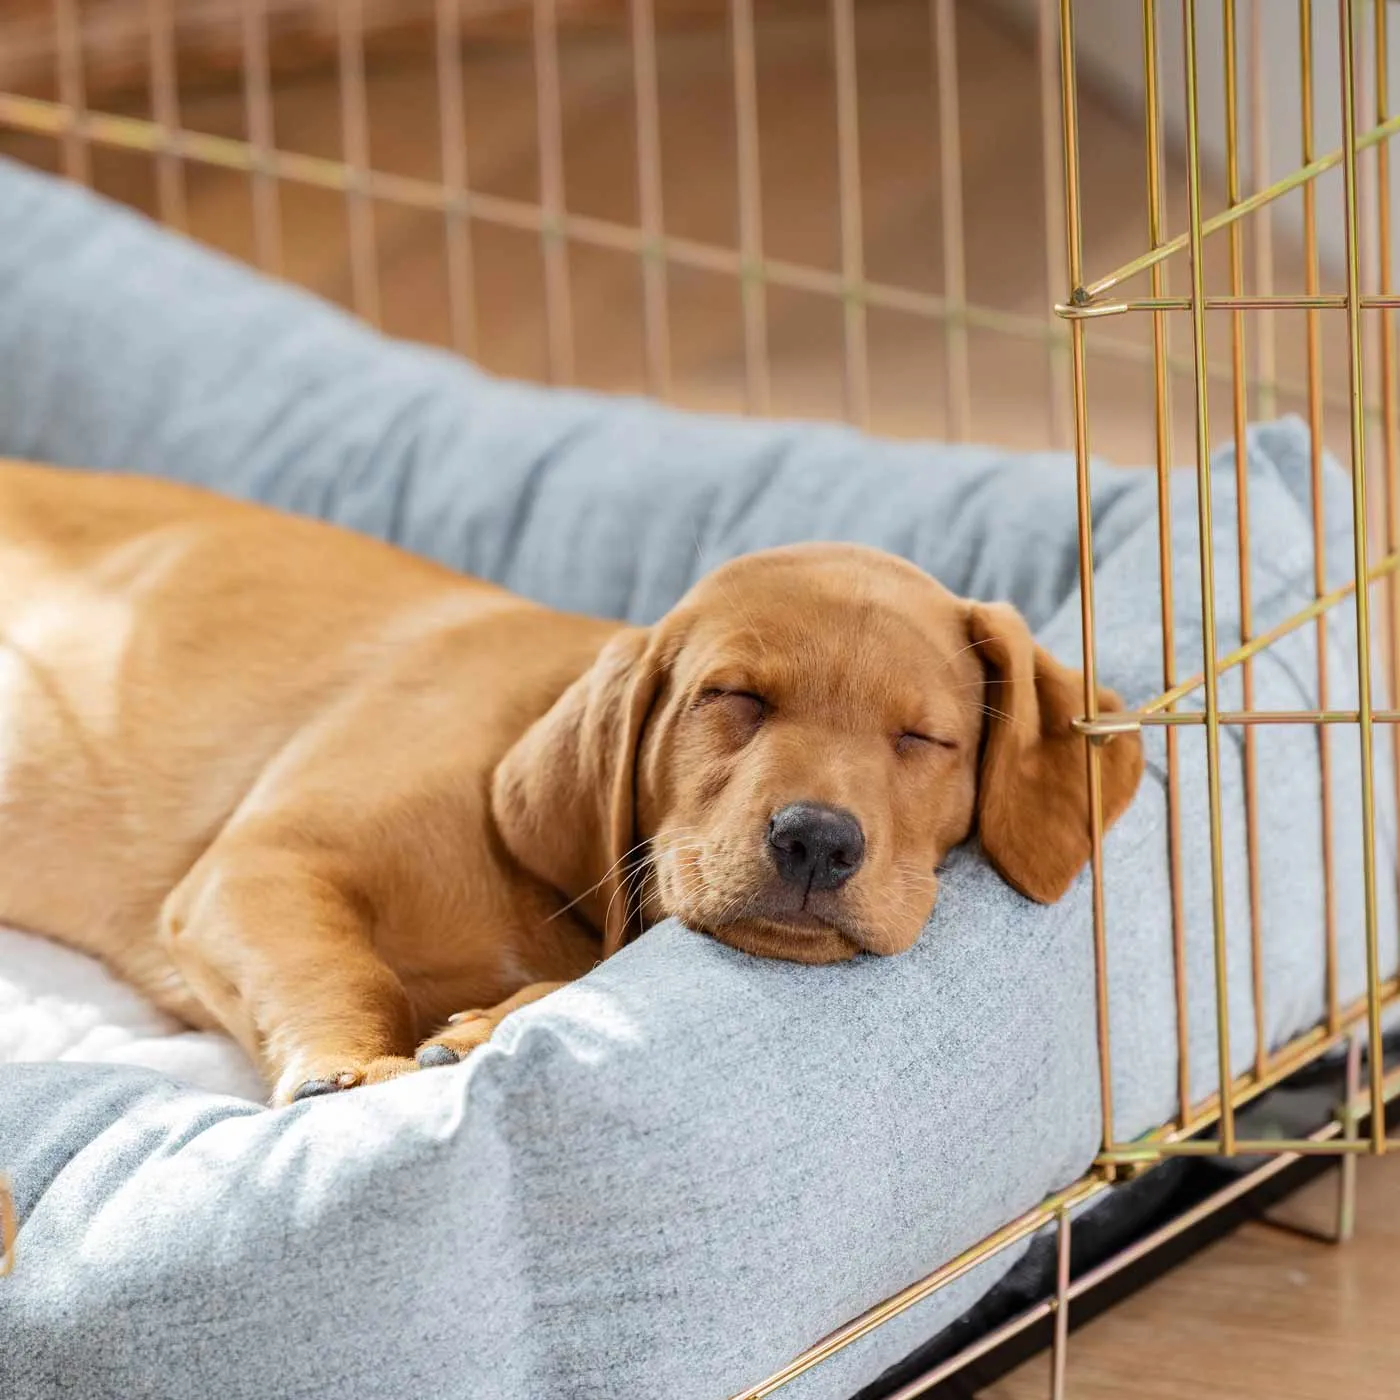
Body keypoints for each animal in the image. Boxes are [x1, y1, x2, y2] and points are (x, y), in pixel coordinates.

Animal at [0, 459, 1136, 1103]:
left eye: (924, 739)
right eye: (733, 697)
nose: (816, 839)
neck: (542, 898)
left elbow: (589, 987)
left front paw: (490, 1025)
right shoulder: (257, 868)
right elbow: (344, 968)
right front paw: (352, 1067)